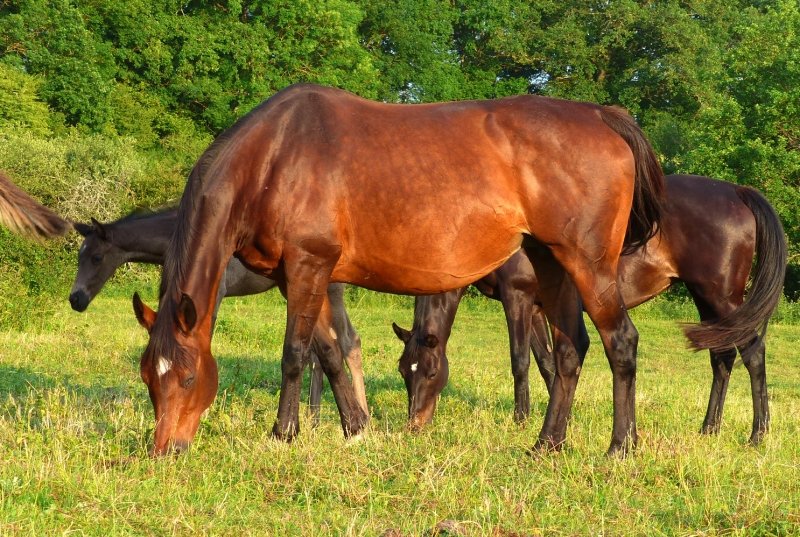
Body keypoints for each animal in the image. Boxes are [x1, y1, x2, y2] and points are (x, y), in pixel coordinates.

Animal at [69, 209, 368, 422]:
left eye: (96, 257)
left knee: (347, 340)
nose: (76, 299)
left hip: (330, 290)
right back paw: (314, 416)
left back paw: (361, 414)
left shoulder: (215, 292)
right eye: (79, 257)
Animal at [130, 83, 664, 456]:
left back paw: (620, 446)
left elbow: (294, 354)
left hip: (589, 266)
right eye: (148, 378)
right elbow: (330, 353)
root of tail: (600, 115)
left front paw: (283, 433)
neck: (274, 155)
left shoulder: (308, 266)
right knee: (572, 350)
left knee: (620, 342)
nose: (165, 451)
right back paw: (546, 444)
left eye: (187, 378)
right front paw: (356, 428)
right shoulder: (299, 276)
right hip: (553, 264)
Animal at [393, 174, 786, 445]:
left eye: (429, 372)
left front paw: (522, 418)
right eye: (403, 371)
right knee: (722, 358)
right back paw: (709, 428)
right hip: (707, 301)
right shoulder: (539, 308)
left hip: (721, 296)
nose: (414, 425)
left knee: (752, 353)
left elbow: (520, 360)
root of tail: (737, 192)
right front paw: (557, 418)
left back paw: (757, 434)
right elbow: (547, 361)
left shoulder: (518, 298)